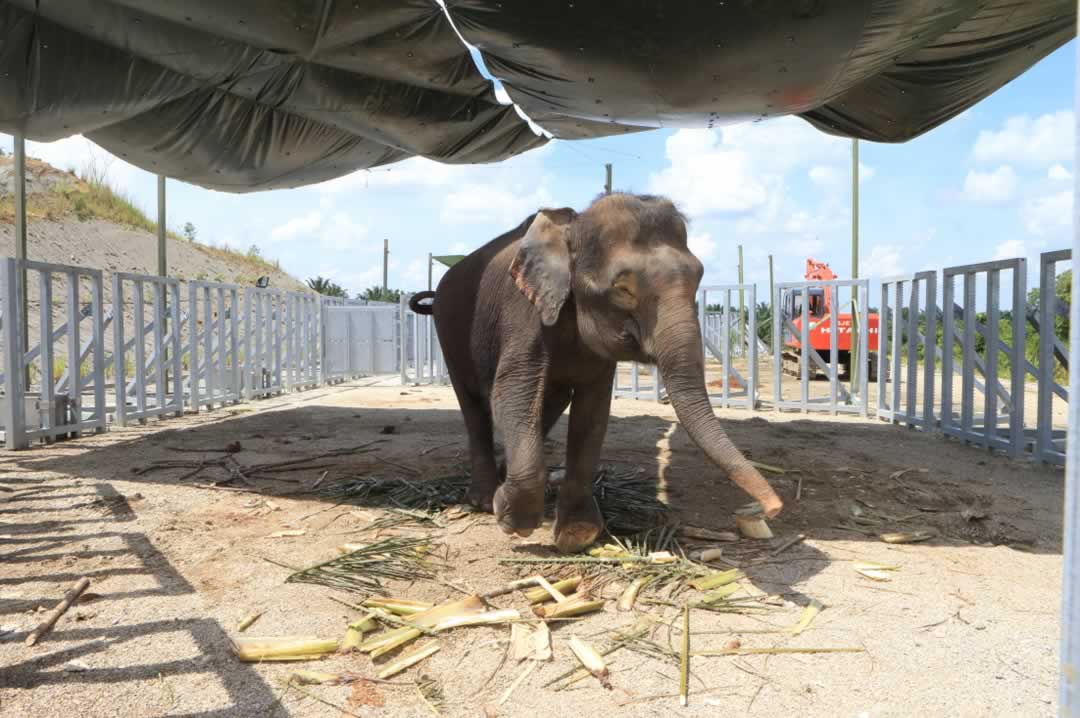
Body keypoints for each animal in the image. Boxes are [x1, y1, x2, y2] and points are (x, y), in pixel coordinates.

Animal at [408, 193, 781, 550]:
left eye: (699, 277)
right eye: (623, 288)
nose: (772, 508)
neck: (572, 228)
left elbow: (593, 411)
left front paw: (577, 535)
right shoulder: (523, 312)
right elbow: (513, 392)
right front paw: (512, 519)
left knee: (548, 403)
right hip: (449, 331)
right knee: (474, 405)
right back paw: (484, 500)